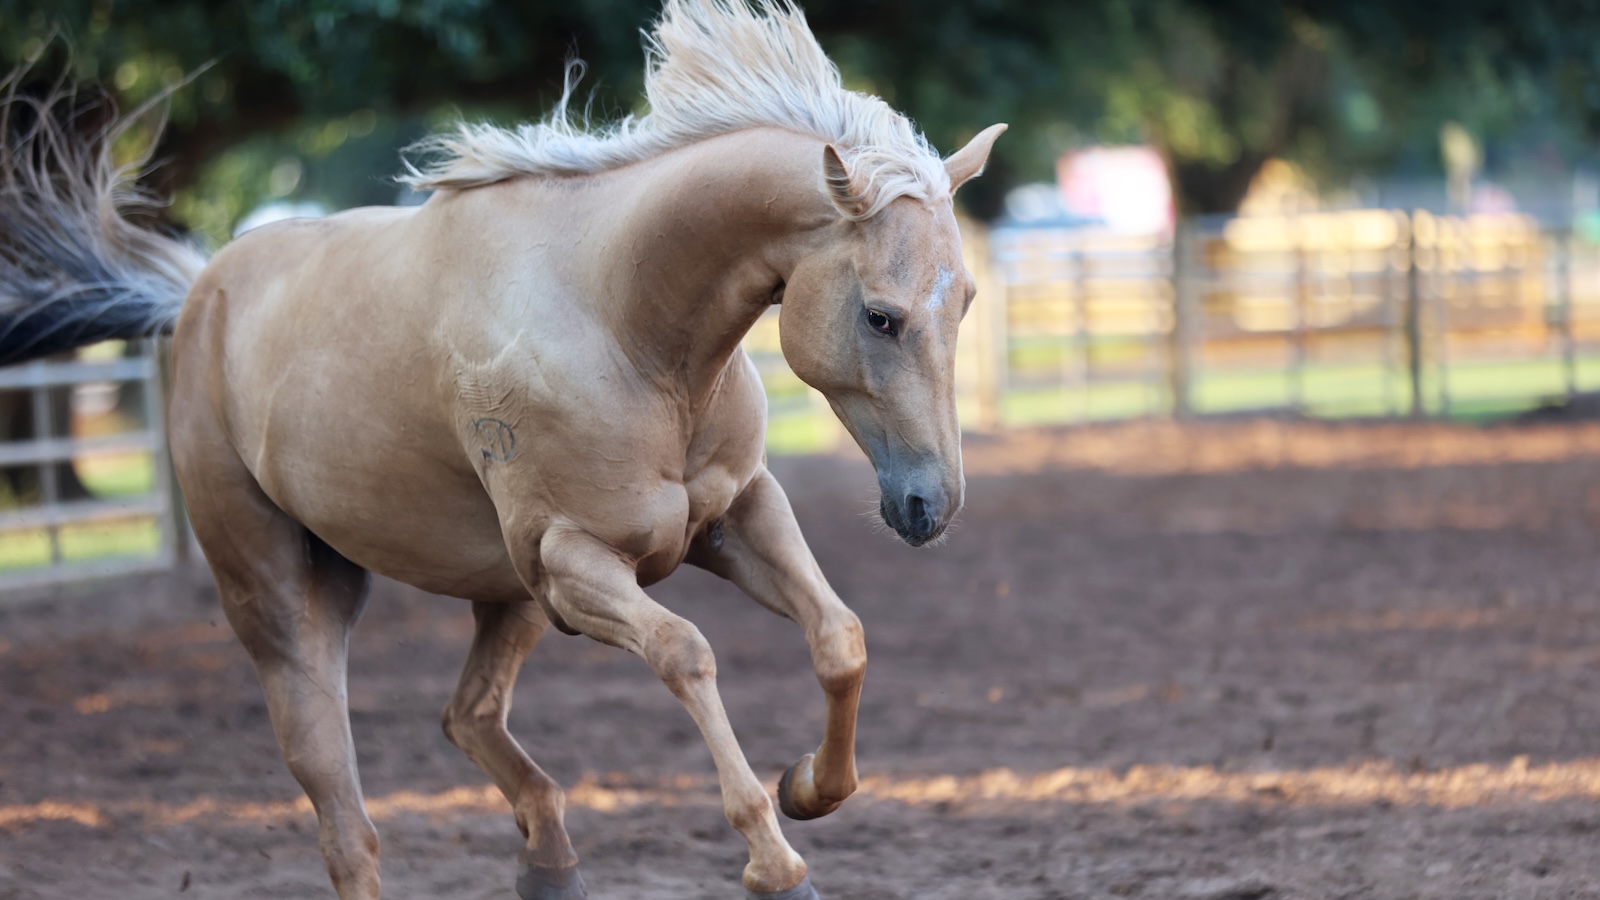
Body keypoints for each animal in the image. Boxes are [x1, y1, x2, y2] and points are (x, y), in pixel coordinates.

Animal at [0, 1, 1003, 897]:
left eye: (965, 301)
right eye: (880, 316)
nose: (932, 505)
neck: (625, 321)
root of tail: (197, 295)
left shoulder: (733, 515)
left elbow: (840, 637)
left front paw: (808, 788)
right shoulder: (573, 562)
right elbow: (686, 653)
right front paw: (775, 863)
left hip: (499, 593)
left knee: (468, 717)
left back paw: (550, 862)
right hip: (286, 599)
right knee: (347, 823)